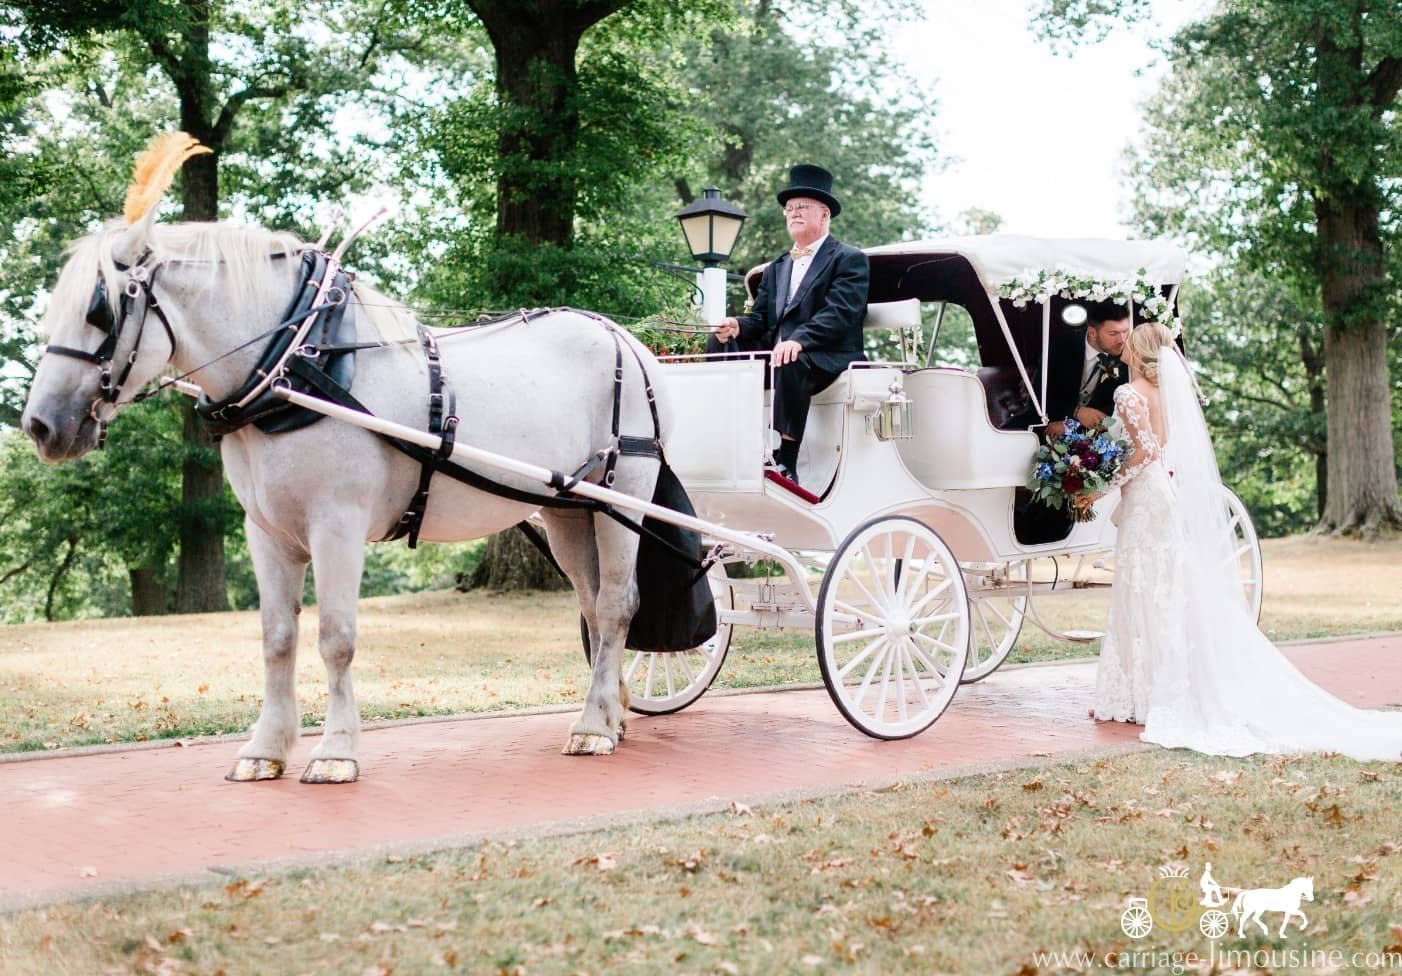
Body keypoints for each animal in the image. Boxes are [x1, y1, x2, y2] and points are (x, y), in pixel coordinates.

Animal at [19, 217, 675, 779]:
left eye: (100, 310)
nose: (39, 425)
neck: (292, 366)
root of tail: (626, 339)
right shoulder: (267, 533)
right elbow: (277, 638)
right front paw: (265, 748)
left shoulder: (337, 525)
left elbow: (335, 638)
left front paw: (335, 751)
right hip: (570, 511)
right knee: (591, 606)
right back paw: (610, 711)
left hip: (625, 497)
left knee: (616, 606)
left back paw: (594, 726)